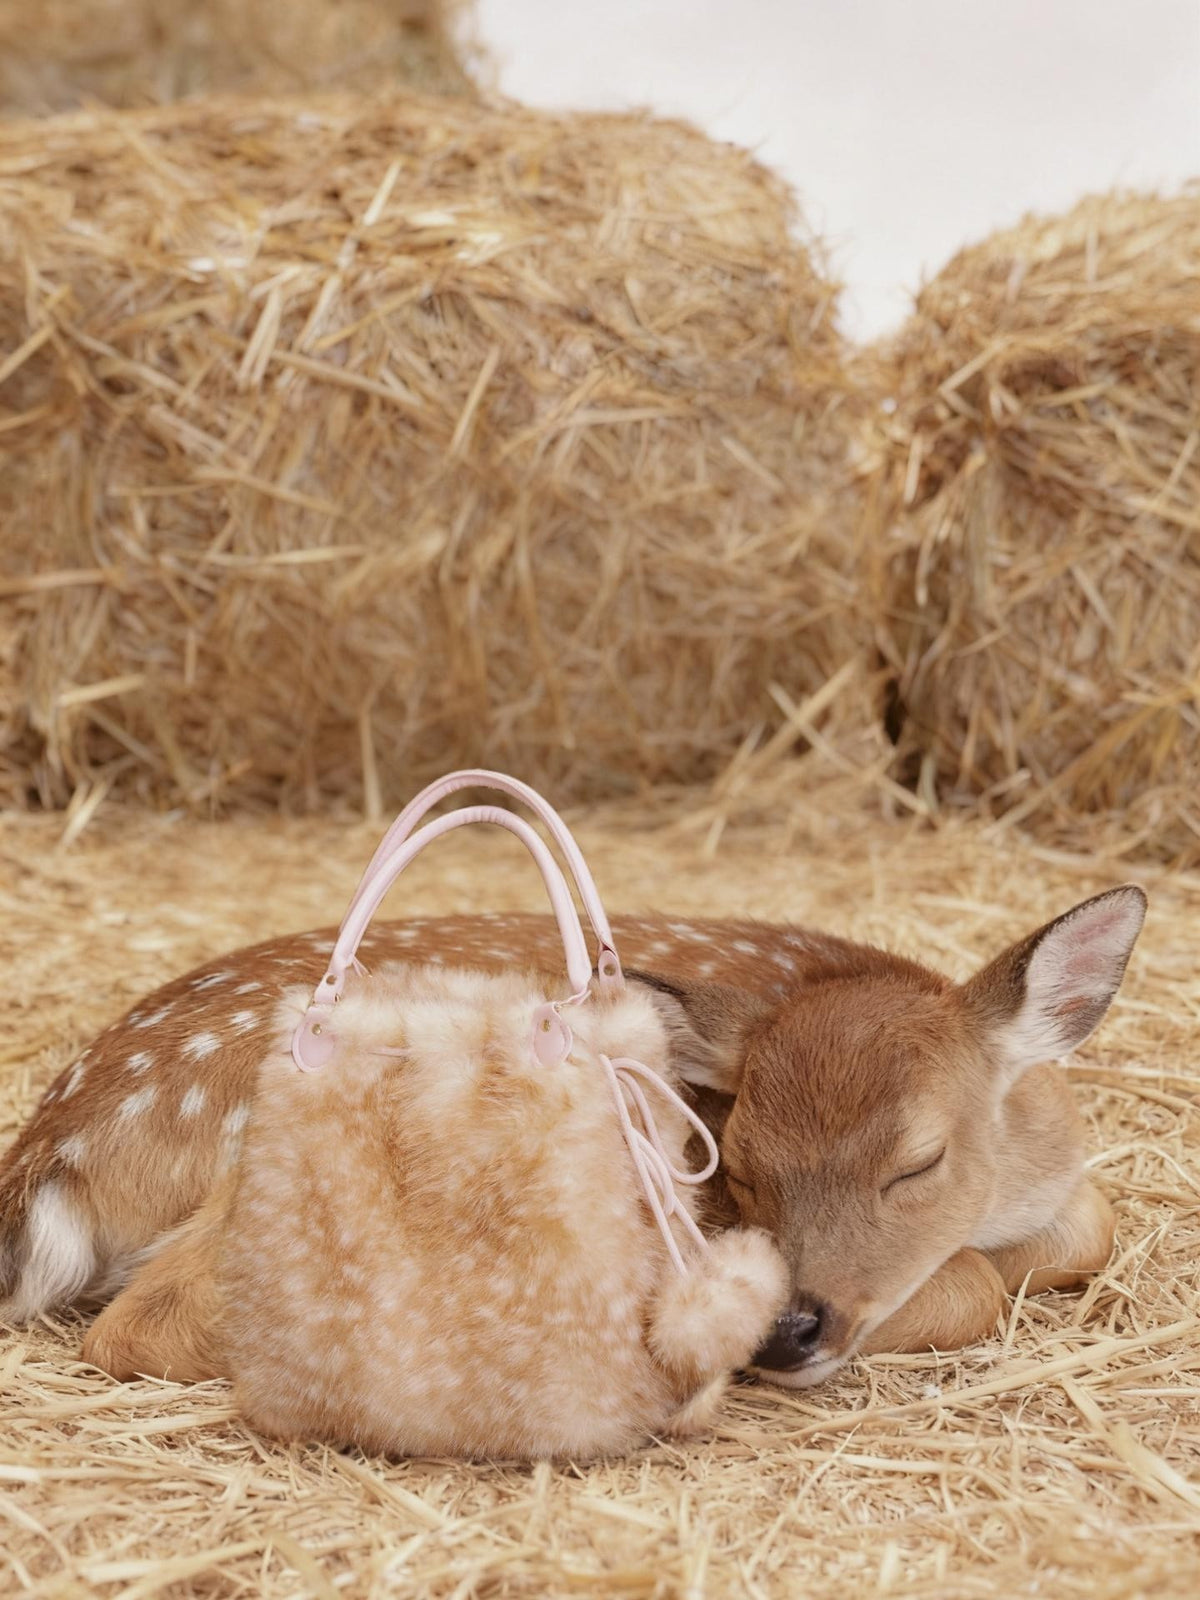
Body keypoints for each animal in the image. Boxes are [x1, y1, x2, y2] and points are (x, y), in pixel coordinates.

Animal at [0, 886, 1143, 1392]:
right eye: (741, 1169)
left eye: (917, 1162)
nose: (788, 1331)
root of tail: (58, 1147)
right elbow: (974, 1284)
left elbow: (1092, 1223)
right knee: (145, 1323)